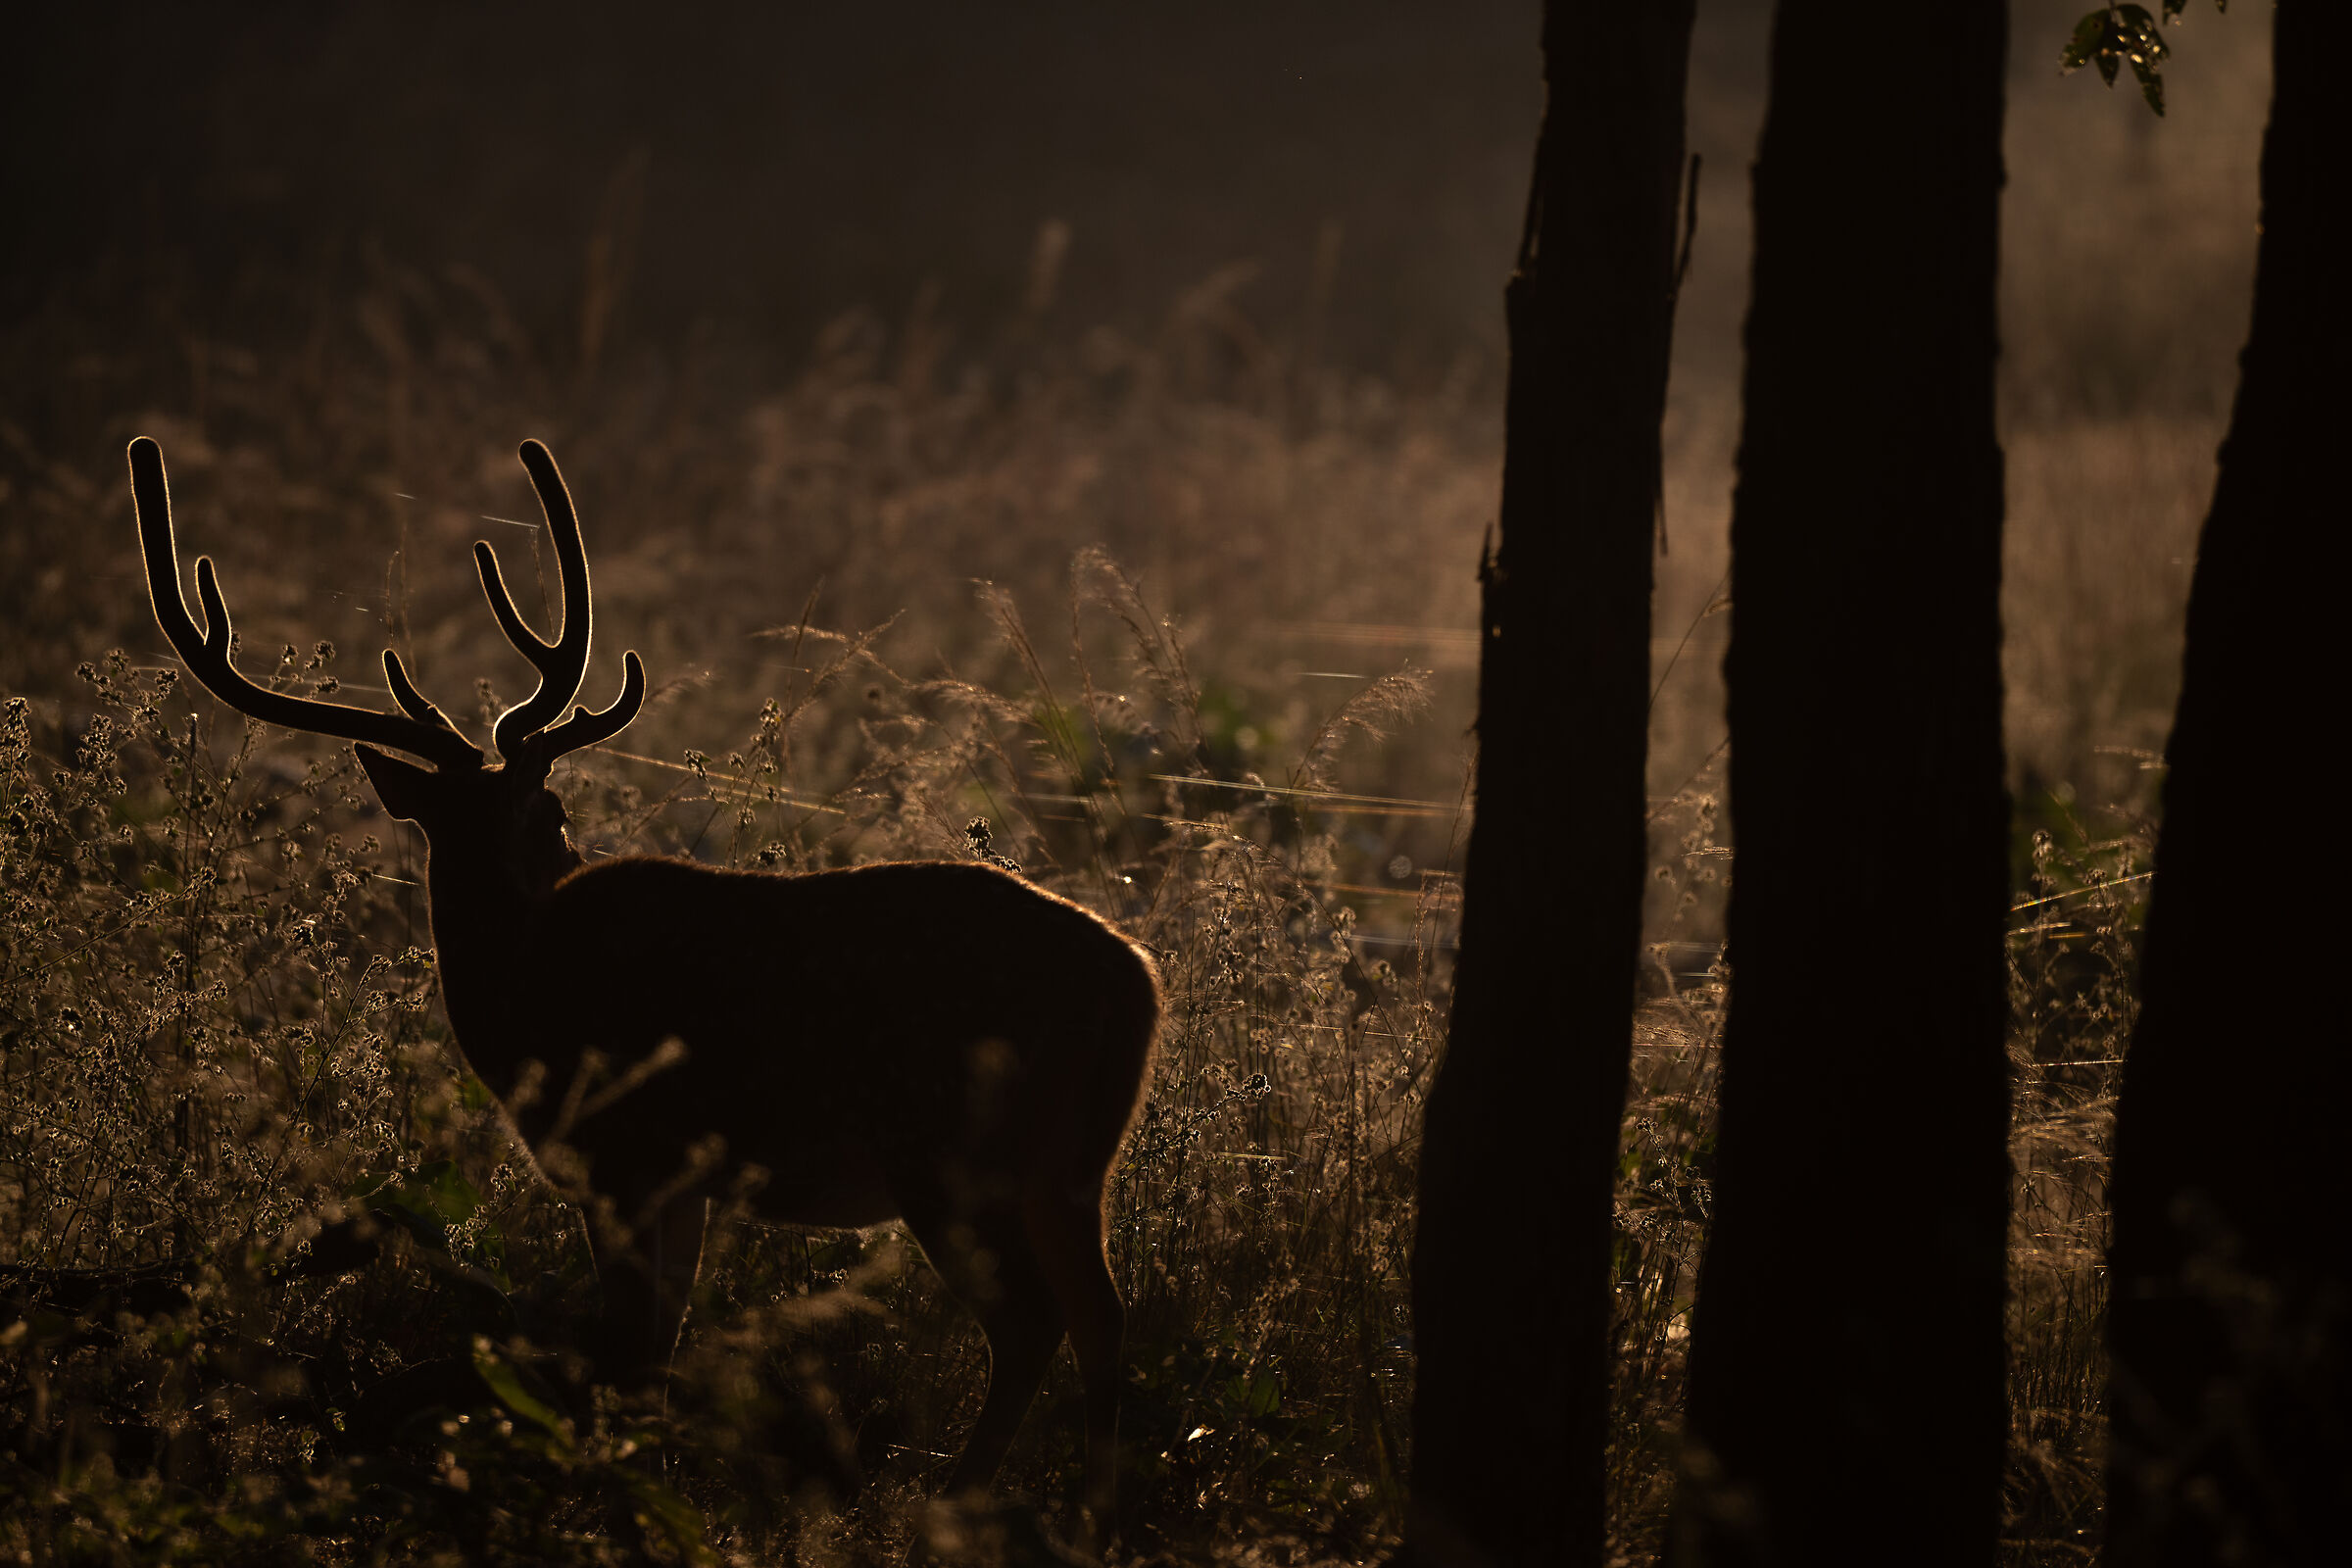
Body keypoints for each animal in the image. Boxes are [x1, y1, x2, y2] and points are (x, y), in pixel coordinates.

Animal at [126, 435, 1159, 1540]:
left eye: (553, 810)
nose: (562, 858)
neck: (521, 998)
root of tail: (1137, 982)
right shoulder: (677, 1178)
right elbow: (657, 1346)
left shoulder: (622, 1154)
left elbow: (626, 1352)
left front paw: (620, 1504)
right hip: (1068, 1163)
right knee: (1102, 1311)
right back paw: (1094, 1512)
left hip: (950, 1145)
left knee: (1032, 1319)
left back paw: (949, 1506)